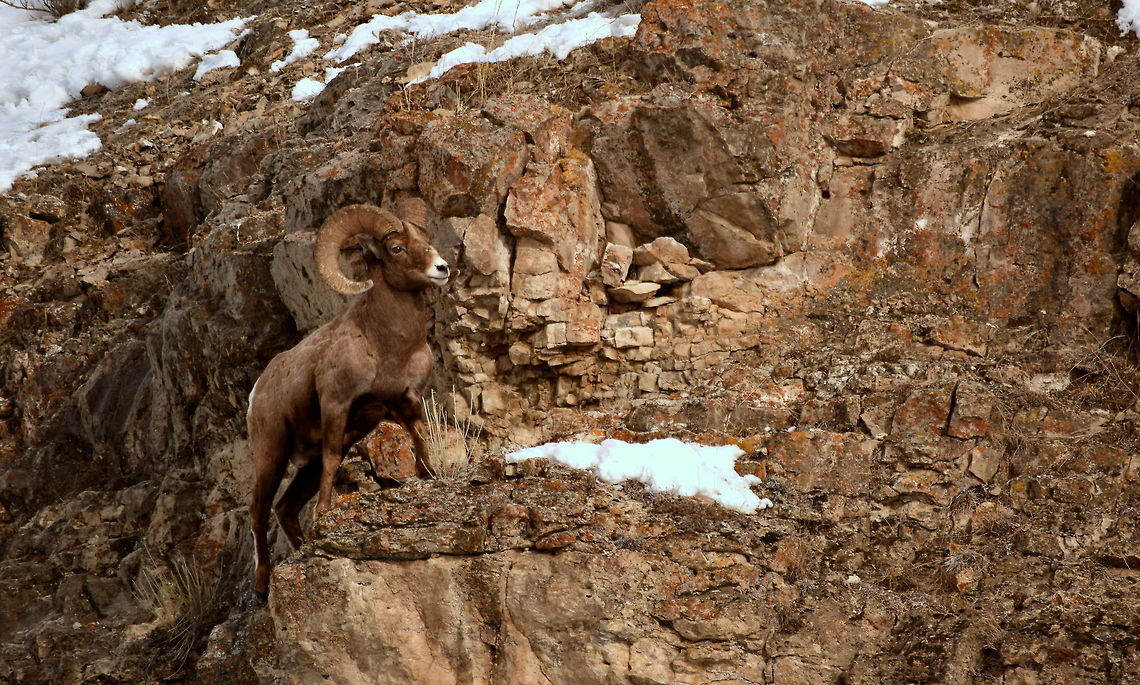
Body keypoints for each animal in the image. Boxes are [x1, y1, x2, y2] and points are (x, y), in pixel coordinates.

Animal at [246, 203, 450, 597]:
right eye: (396, 248)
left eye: (425, 241)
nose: (442, 268)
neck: (387, 346)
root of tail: (257, 390)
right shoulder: (336, 406)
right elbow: (332, 458)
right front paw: (325, 512)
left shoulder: (406, 403)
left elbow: (421, 440)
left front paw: (431, 477)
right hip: (271, 451)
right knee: (259, 510)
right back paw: (263, 583)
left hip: (301, 465)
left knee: (285, 508)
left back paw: (301, 549)